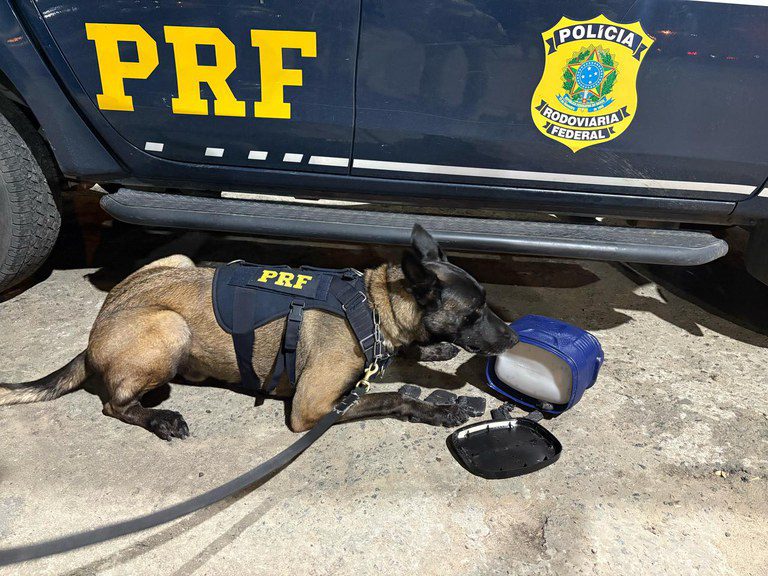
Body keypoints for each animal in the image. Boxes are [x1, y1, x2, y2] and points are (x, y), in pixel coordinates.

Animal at [0, 226, 520, 440]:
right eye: (474, 314)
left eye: (484, 306)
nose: (514, 339)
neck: (374, 305)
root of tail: (95, 331)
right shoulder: (312, 407)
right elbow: (392, 396)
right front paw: (439, 409)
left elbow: (404, 359)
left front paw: (432, 351)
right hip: (170, 327)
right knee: (114, 404)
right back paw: (158, 417)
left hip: (180, 260)